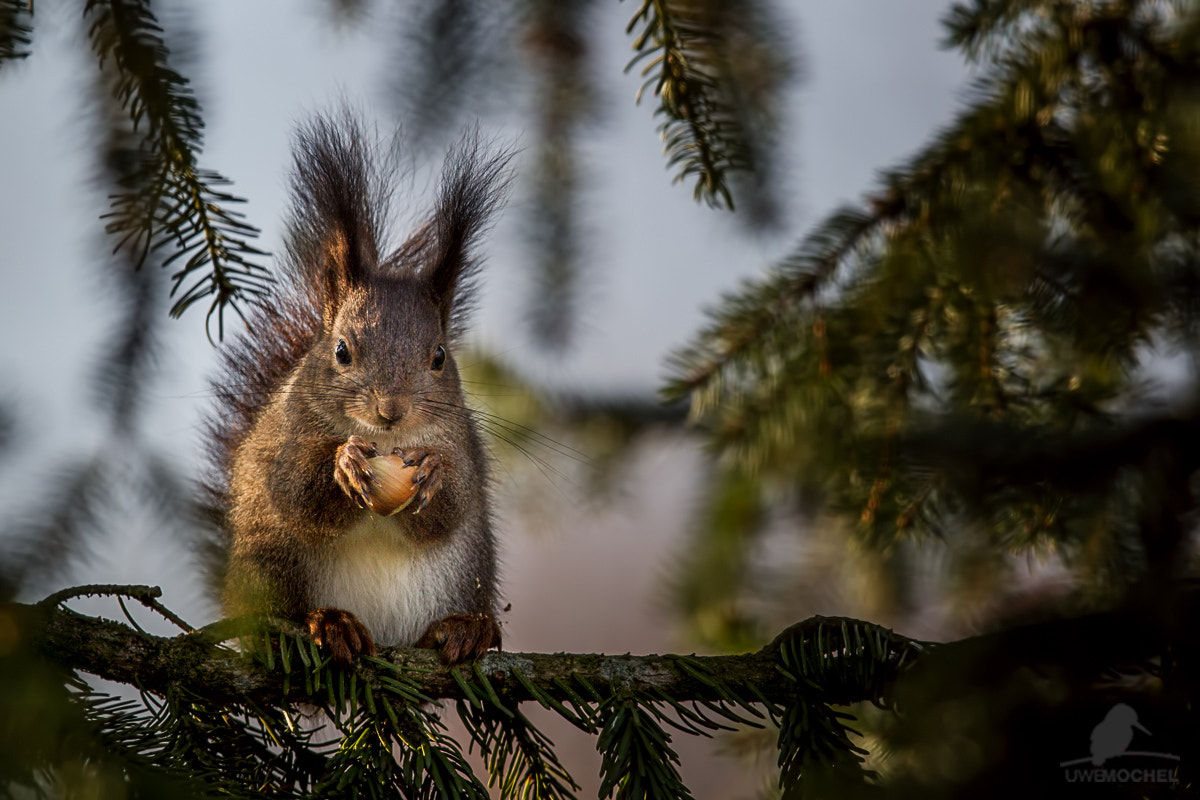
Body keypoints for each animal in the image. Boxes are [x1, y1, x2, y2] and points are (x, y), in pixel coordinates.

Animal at [202, 109, 511, 666]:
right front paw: (344, 462)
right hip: (270, 561)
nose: (391, 409)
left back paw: (463, 629)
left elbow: (452, 506)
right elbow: (296, 489)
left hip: (465, 574)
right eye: (342, 351)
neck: (386, 442)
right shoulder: (289, 435)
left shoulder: (462, 443)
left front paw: (432, 472)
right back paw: (327, 623)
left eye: (439, 356)